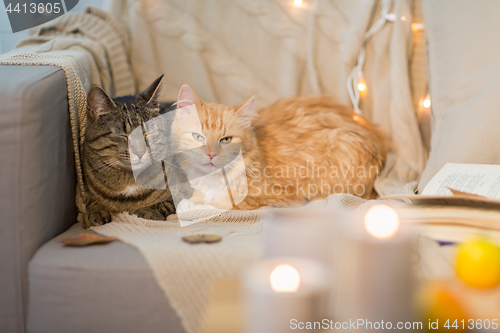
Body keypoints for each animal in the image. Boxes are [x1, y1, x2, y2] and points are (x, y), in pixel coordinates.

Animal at [82, 75, 176, 227]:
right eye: (123, 135)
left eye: (148, 133)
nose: (140, 152)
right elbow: (91, 200)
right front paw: (94, 213)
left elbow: (164, 203)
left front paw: (147, 212)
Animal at [173, 84, 390, 211]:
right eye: (198, 136)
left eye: (226, 140)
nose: (211, 154)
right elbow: (197, 197)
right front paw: (190, 202)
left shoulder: (265, 195)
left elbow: (218, 204)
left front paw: (193, 207)